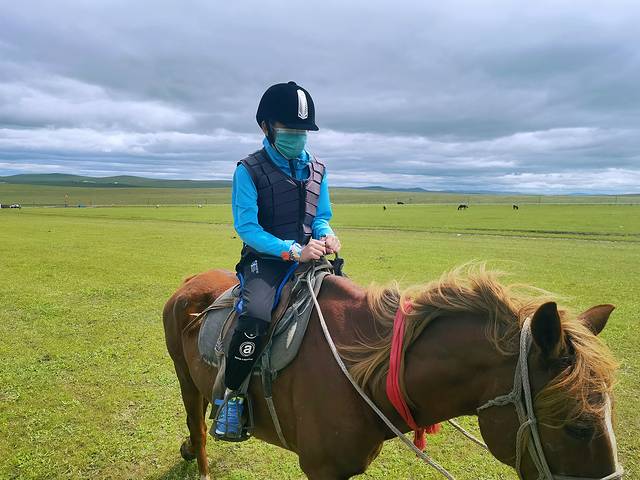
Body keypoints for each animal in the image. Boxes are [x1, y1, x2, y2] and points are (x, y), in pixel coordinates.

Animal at [163, 264, 621, 480]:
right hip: (185, 380)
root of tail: (190, 282)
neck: (359, 372)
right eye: (578, 427)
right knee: (196, 425)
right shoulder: (321, 470)